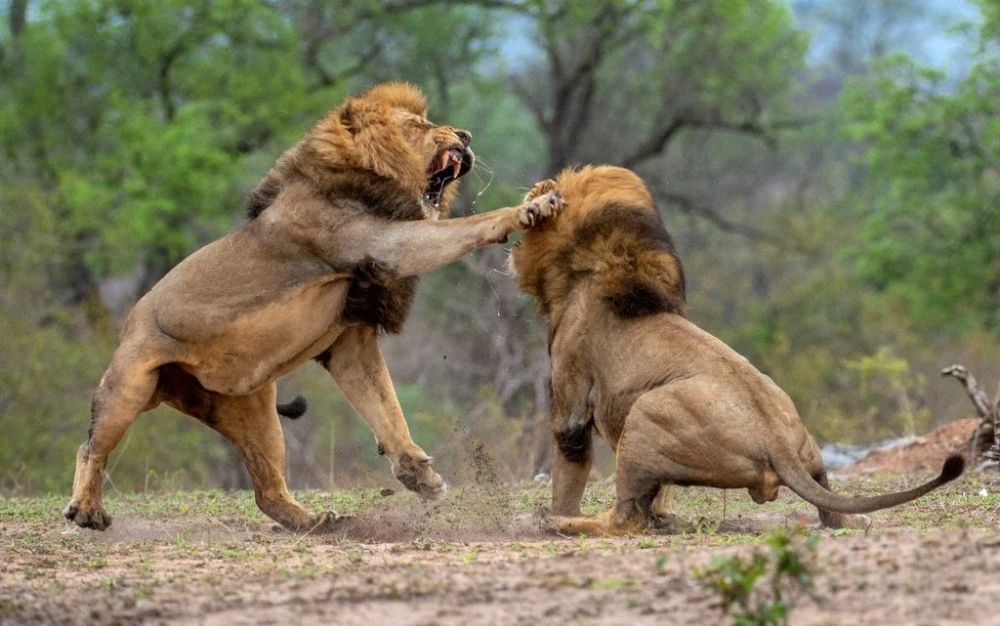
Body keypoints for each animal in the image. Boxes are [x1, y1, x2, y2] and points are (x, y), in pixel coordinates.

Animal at [62, 81, 564, 532]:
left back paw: (315, 522)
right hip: (129, 383)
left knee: (266, 491)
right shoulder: (388, 245)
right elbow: (471, 225)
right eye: (420, 125)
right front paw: (532, 206)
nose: (466, 135)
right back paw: (86, 510)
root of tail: (127, 323)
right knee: (90, 448)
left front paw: (421, 477)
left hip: (254, 411)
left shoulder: (350, 343)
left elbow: (387, 411)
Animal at [512, 165, 964, 532]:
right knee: (834, 513)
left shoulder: (571, 395)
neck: (591, 268)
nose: (532, 194)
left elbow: (569, 466)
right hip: (807, 452)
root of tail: (779, 443)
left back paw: (560, 523)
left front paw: (560, 510)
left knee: (625, 519)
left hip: (646, 414)